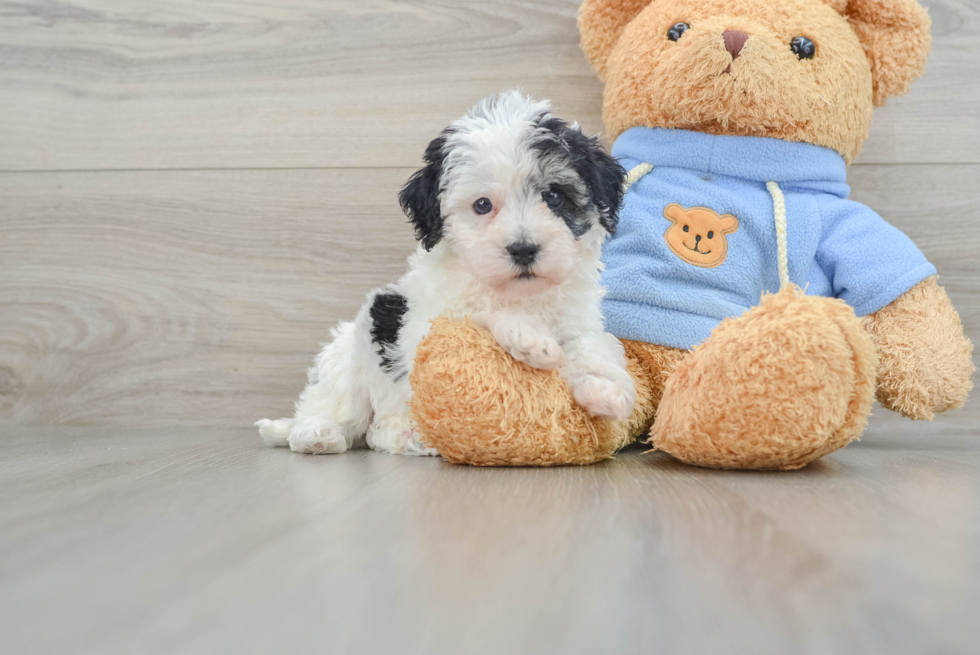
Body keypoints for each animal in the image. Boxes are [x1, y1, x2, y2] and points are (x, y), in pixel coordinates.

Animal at [255, 92, 636, 456]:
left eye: (554, 196)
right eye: (482, 205)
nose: (524, 249)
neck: (520, 294)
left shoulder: (578, 319)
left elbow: (590, 345)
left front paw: (604, 387)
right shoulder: (431, 326)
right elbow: (480, 313)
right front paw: (530, 338)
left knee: (376, 434)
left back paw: (407, 438)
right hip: (348, 359)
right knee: (338, 411)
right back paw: (317, 434)